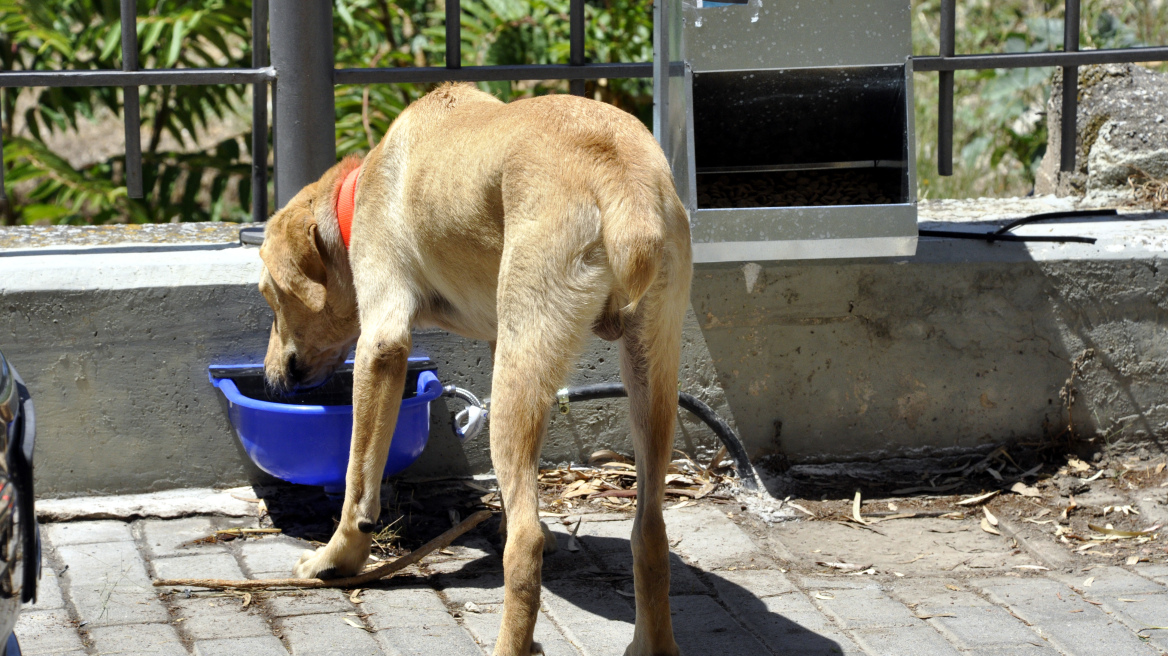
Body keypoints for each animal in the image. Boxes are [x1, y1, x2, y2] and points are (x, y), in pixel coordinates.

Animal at [258, 84, 691, 648]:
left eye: (271, 297)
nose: (271, 377)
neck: (359, 192)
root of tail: (620, 173)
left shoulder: (381, 343)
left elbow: (358, 481)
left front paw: (338, 558)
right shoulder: (494, 336)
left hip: (520, 376)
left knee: (525, 550)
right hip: (645, 378)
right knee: (650, 530)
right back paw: (650, 643)